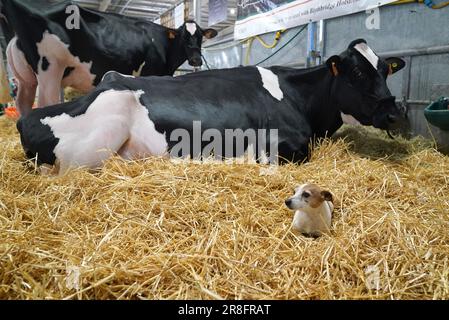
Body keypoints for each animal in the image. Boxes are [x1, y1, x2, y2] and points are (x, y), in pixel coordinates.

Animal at [0, 0, 216, 115]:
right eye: (182, 36)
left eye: (200, 36)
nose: (196, 60)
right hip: (49, 71)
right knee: (45, 104)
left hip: (26, 79)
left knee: (23, 105)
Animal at [16, 40, 406, 175]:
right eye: (358, 72)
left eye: (386, 69)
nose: (394, 113)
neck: (295, 94)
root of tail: (26, 119)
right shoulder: (281, 145)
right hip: (92, 148)